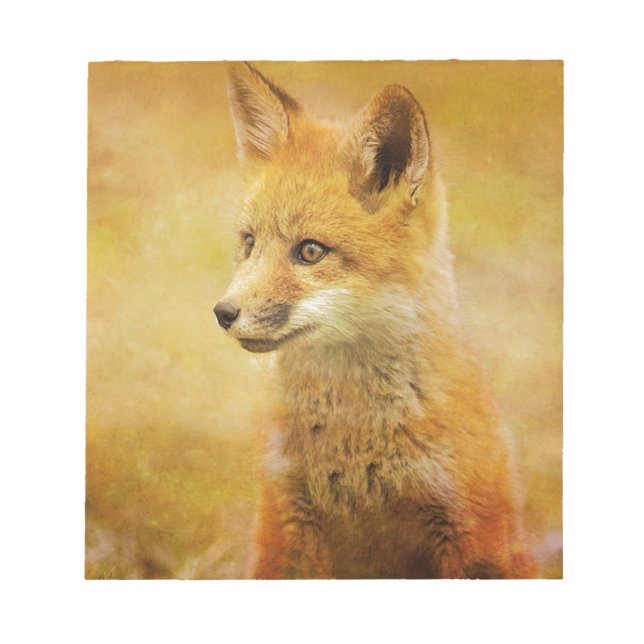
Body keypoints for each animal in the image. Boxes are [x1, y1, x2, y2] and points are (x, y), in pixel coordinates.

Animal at [214, 62, 538, 579]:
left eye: (310, 251)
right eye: (248, 243)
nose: (223, 313)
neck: (353, 443)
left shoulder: (469, 529)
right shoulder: (284, 520)